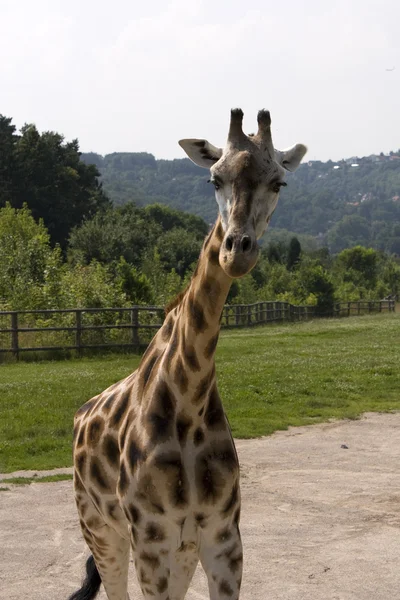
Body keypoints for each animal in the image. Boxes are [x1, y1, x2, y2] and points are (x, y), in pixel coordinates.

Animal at [69, 109, 306, 600]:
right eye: (214, 178)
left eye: (279, 182)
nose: (236, 251)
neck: (190, 398)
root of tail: (80, 414)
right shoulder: (151, 539)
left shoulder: (222, 539)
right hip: (101, 531)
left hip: (179, 552)